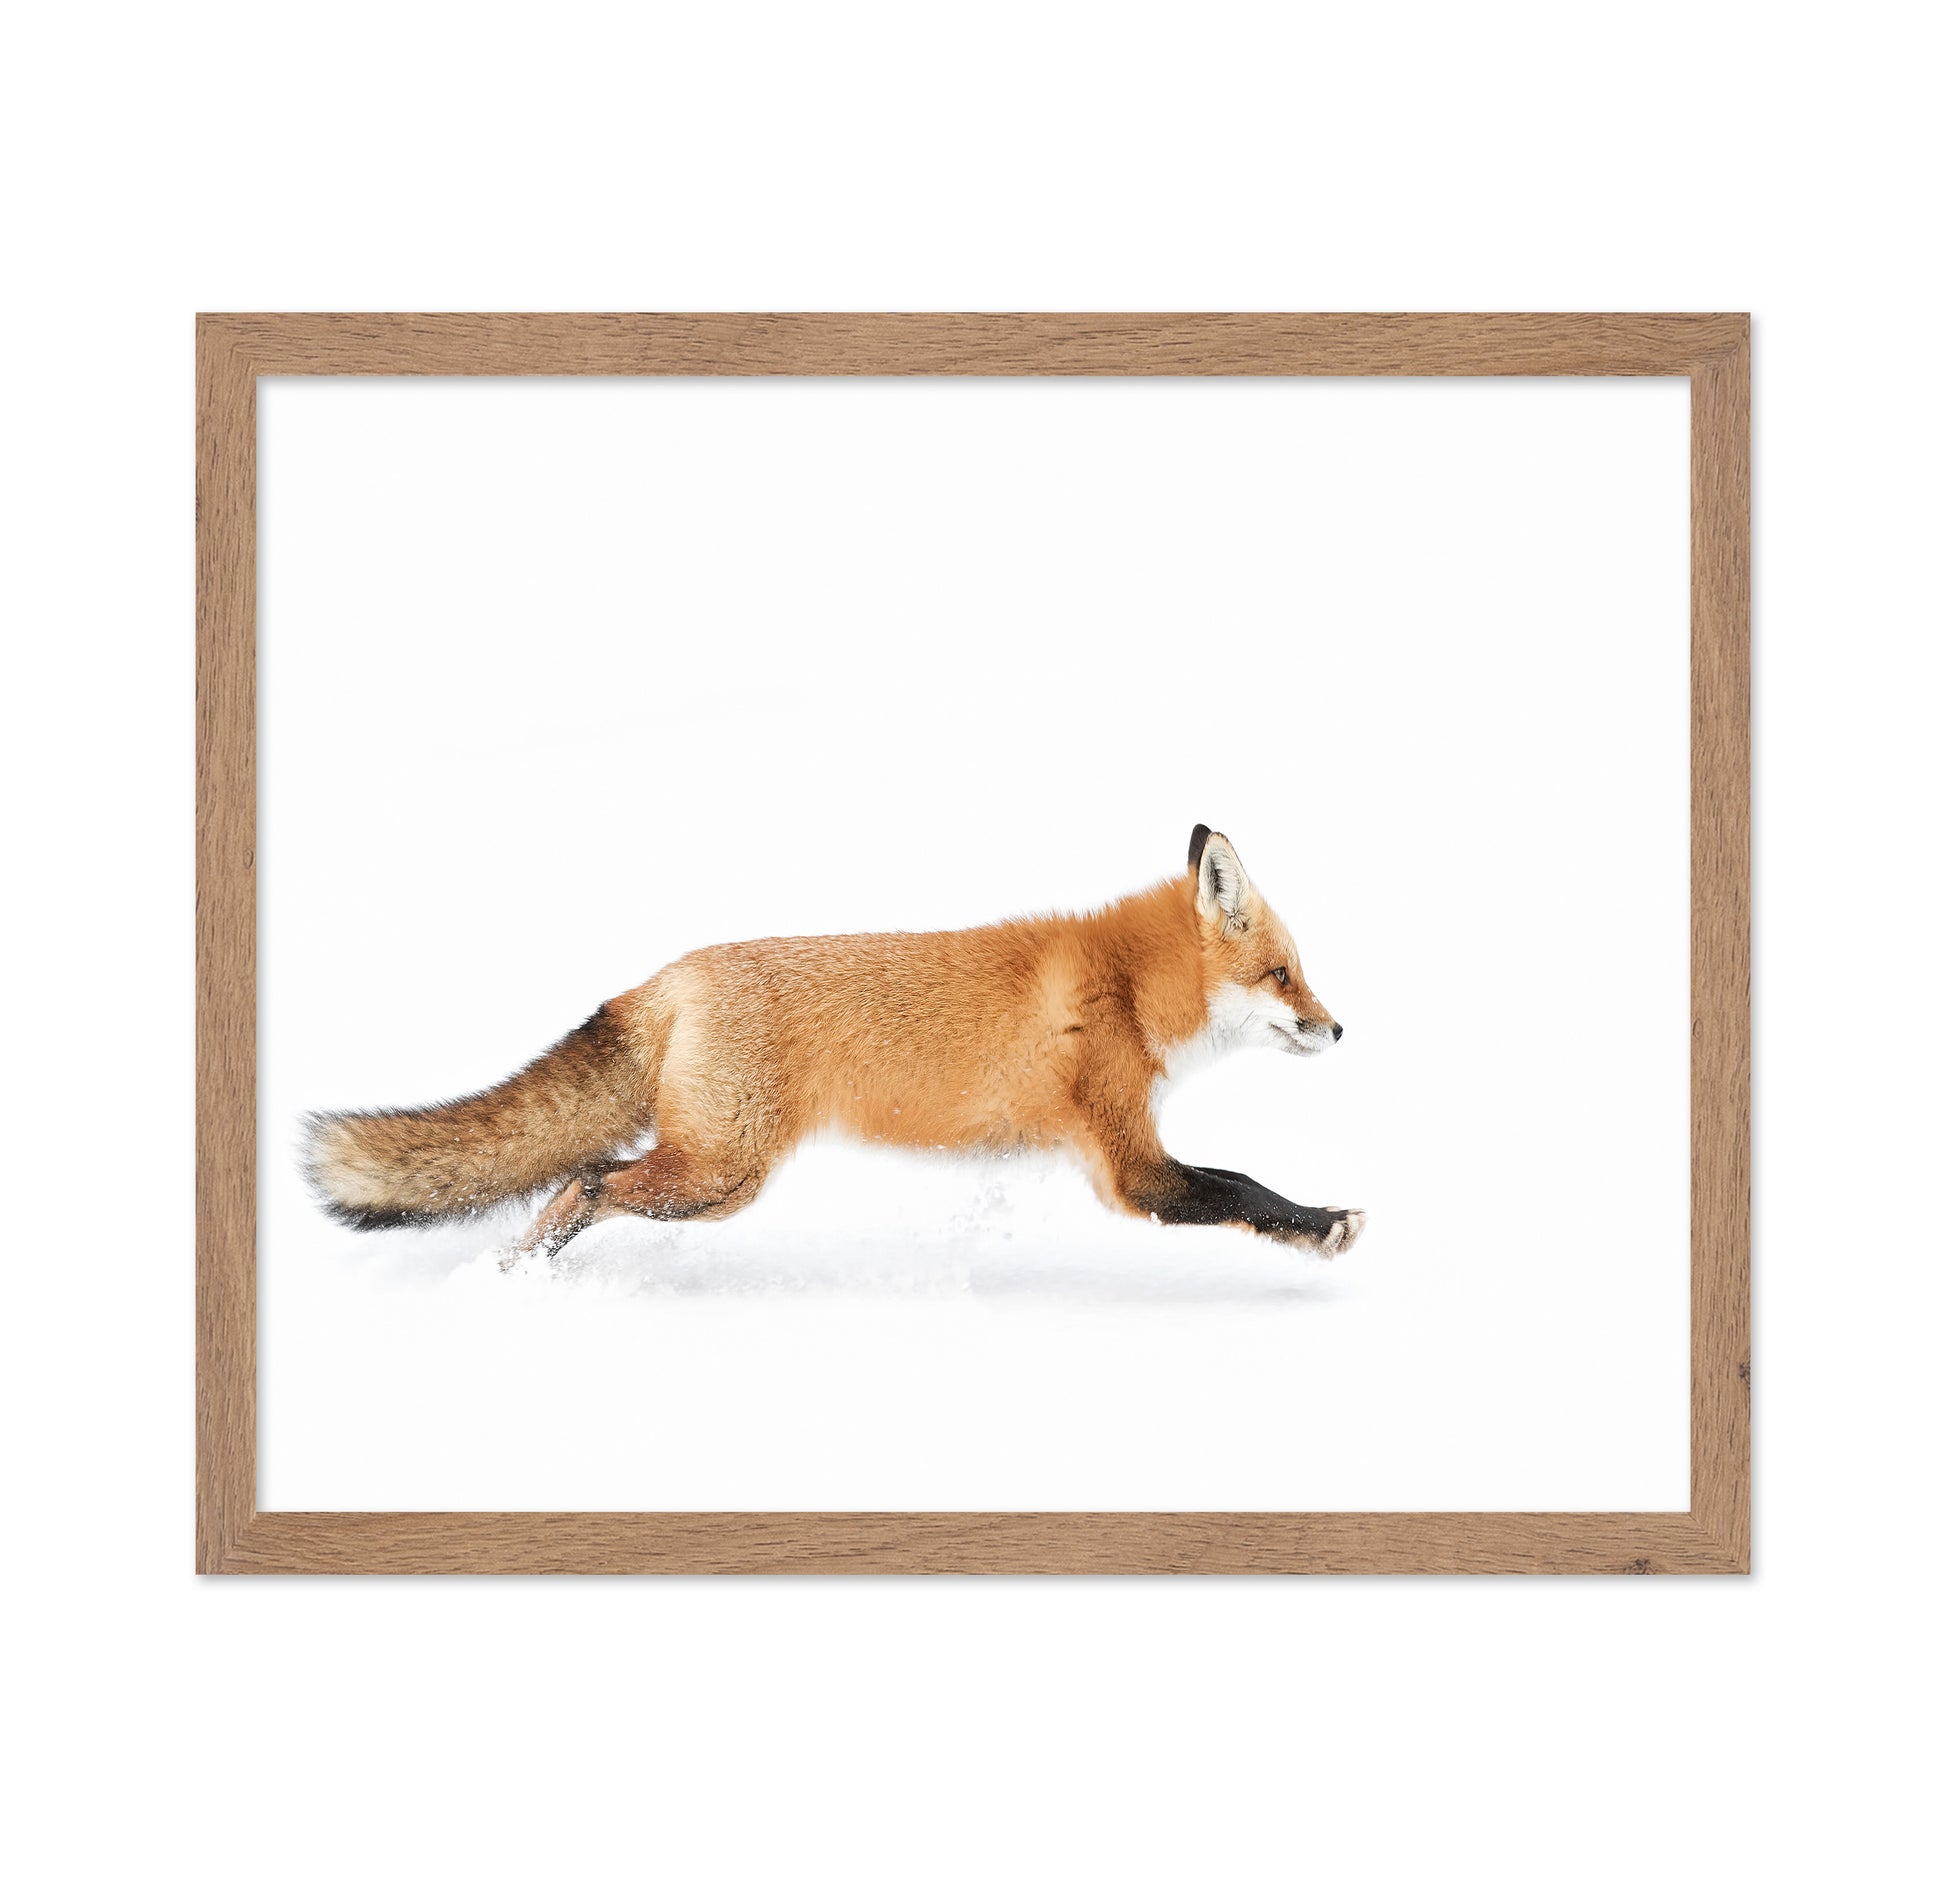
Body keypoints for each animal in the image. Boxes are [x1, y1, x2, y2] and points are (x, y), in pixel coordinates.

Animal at [304, 825, 1366, 1261]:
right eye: (1284, 974)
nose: (1340, 1027)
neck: (1126, 986)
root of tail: (670, 974)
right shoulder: (1130, 1168)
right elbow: (1242, 1187)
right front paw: (1326, 1226)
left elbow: (1237, 1184)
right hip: (717, 1174)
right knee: (583, 1184)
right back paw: (517, 1284)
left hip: (714, 1180)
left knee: (582, 1180)